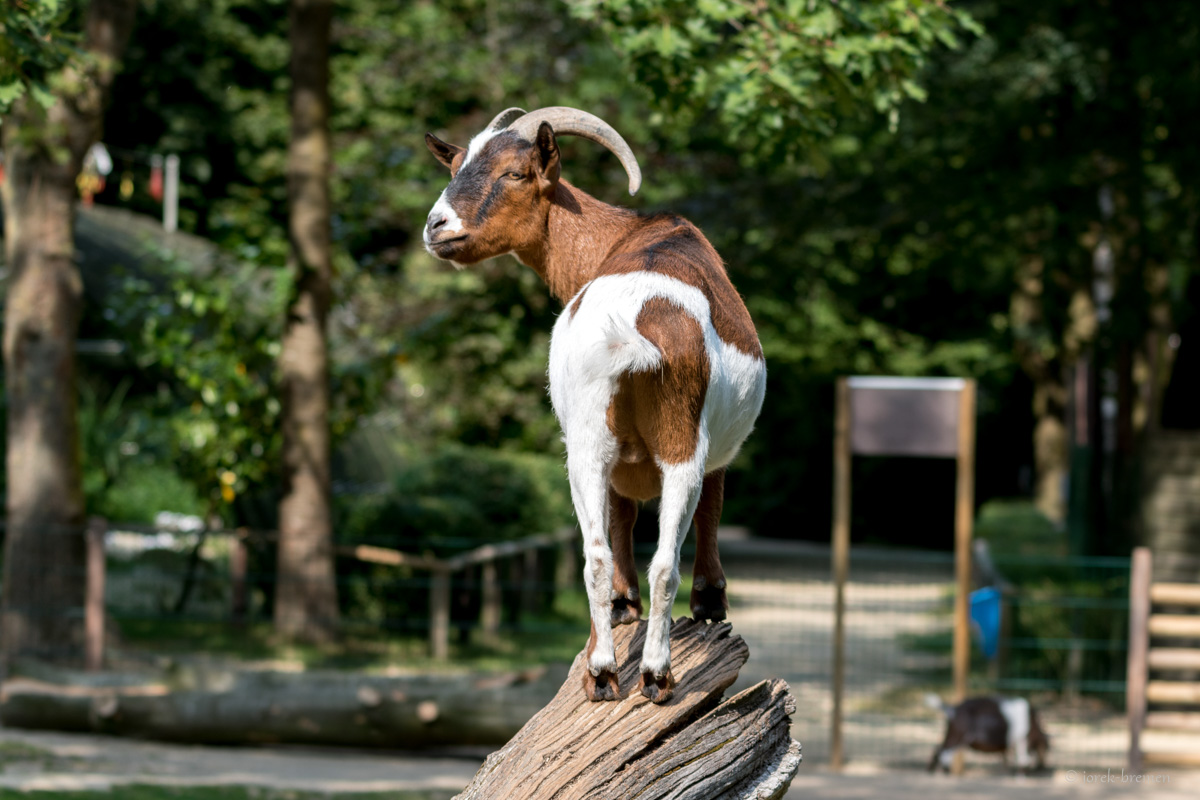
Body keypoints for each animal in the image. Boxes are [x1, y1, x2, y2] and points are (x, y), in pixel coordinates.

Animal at [423, 107, 766, 704]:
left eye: (514, 173)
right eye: (456, 165)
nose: (437, 226)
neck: (622, 235)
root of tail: (633, 330)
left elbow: (626, 518)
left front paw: (633, 608)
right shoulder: (705, 450)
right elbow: (699, 506)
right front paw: (705, 603)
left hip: (585, 444)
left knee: (598, 555)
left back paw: (604, 672)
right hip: (678, 442)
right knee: (661, 560)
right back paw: (650, 674)